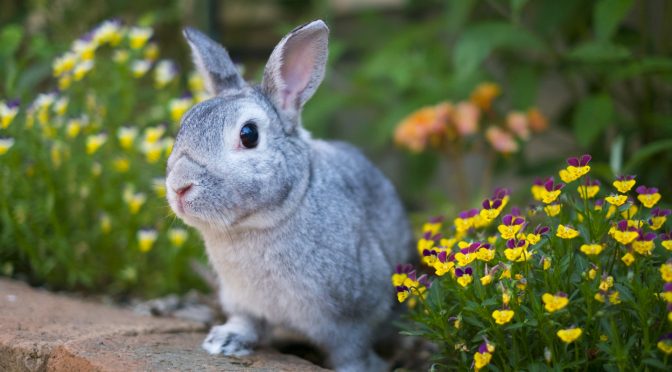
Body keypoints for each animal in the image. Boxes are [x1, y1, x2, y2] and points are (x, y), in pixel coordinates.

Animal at [165, 20, 412, 372]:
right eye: (185, 125)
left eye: (249, 135)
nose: (179, 186)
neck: (260, 224)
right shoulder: (241, 299)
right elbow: (246, 321)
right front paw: (223, 342)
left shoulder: (354, 316)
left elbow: (351, 352)